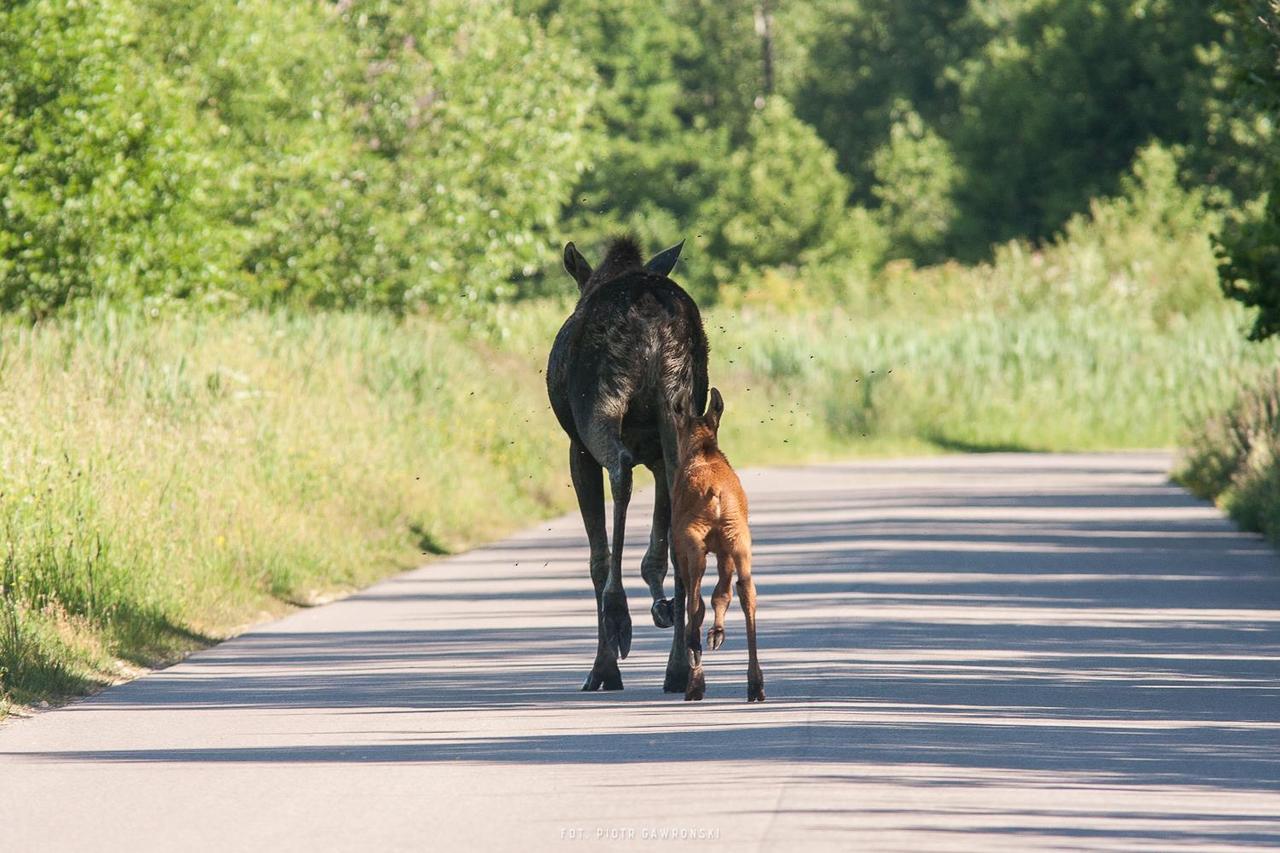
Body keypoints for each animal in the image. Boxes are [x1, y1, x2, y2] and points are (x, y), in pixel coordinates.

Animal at [545, 235, 711, 686]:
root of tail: (650, 308)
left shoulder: (576, 449)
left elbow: (597, 556)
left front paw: (602, 667)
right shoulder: (657, 456)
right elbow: (659, 550)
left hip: (599, 408)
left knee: (619, 471)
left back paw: (618, 615)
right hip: (677, 412)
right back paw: (680, 665)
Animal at [670, 389, 757, 701]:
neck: (702, 448)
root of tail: (716, 493)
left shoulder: (680, 548)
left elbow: (699, 599)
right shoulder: (725, 550)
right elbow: (722, 594)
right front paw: (717, 633)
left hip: (693, 543)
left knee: (694, 600)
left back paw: (694, 656)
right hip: (739, 540)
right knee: (746, 592)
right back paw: (755, 683)